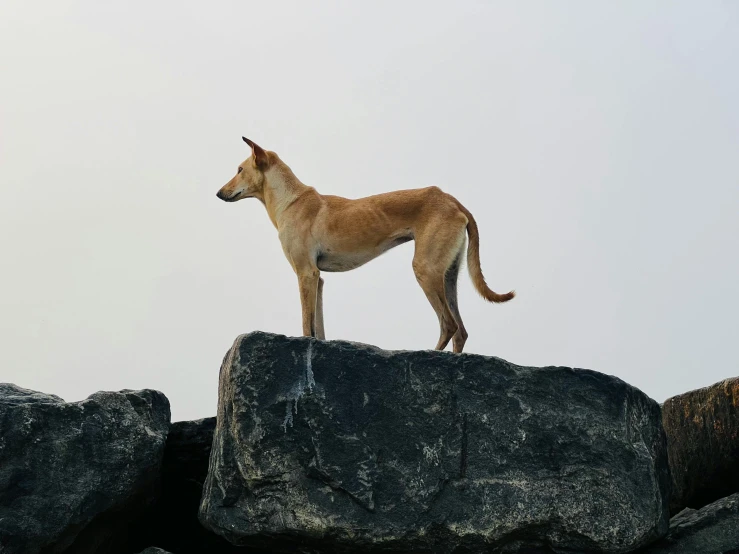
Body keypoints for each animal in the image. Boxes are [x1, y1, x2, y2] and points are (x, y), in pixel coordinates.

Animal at [215, 139, 516, 354]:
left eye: (239, 170)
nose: (218, 193)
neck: (292, 200)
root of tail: (452, 200)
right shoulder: (317, 278)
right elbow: (318, 328)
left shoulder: (305, 273)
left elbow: (306, 326)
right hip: (449, 275)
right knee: (461, 331)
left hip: (426, 270)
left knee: (449, 324)